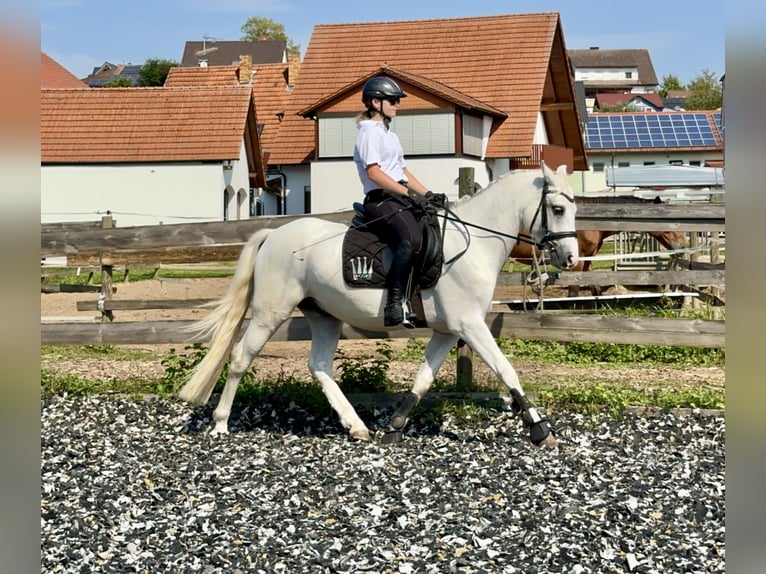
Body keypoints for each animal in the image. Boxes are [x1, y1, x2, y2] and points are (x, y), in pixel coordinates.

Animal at [178, 164, 576, 448]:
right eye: (557, 209)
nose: (570, 258)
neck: (474, 243)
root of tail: (273, 234)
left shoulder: (449, 331)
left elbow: (423, 380)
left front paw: (395, 426)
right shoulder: (470, 325)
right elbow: (507, 370)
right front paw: (540, 430)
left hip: (324, 315)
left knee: (319, 365)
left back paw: (356, 426)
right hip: (269, 313)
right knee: (241, 358)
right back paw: (220, 423)